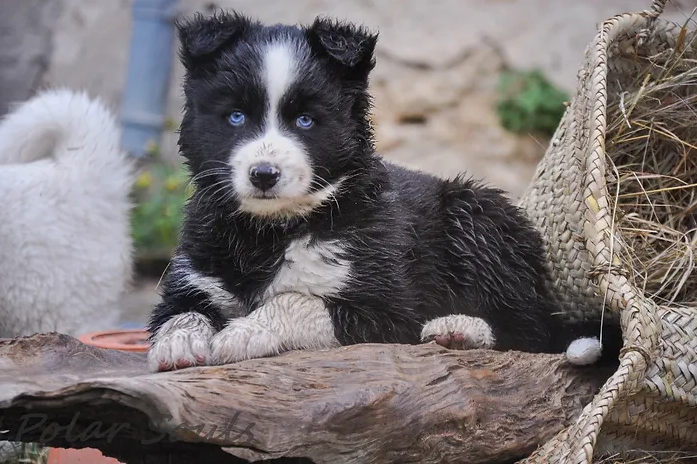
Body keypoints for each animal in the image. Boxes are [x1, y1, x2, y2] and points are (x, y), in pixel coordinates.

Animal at [146, 11, 622, 372]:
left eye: (305, 120)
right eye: (236, 116)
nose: (264, 174)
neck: (270, 232)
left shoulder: (389, 306)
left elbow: (299, 300)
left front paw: (244, 332)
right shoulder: (194, 273)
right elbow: (180, 310)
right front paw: (177, 343)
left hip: (477, 214)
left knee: (528, 330)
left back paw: (459, 328)